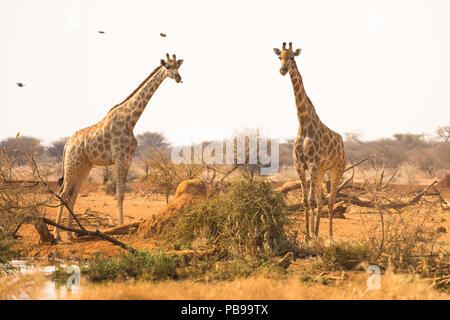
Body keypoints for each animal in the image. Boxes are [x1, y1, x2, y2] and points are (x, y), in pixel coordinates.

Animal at [53, 53, 184, 239]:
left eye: (178, 67)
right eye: (168, 66)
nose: (179, 78)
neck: (130, 120)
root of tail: (67, 144)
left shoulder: (128, 158)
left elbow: (122, 193)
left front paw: (122, 226)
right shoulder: (119, 158)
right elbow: (119, 193)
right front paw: (121, 226)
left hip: (85, 165)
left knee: (73, 194)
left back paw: (72, 233)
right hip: (73, 162)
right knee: (62, 193)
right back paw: (57, 234)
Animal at [272, 43, 346, 238]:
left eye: (292, 57)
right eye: (279, 57)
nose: (282, 70)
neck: (304, 123)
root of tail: (342, 141)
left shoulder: (312, 164)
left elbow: (312, 201)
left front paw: (312, 235)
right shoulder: (300, 165)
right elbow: (306, 201)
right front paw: (307, 234)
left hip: (336, 168)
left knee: (330, 200)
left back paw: (329, 236)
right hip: (320, 171)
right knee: (320, 201)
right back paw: (317, 232)